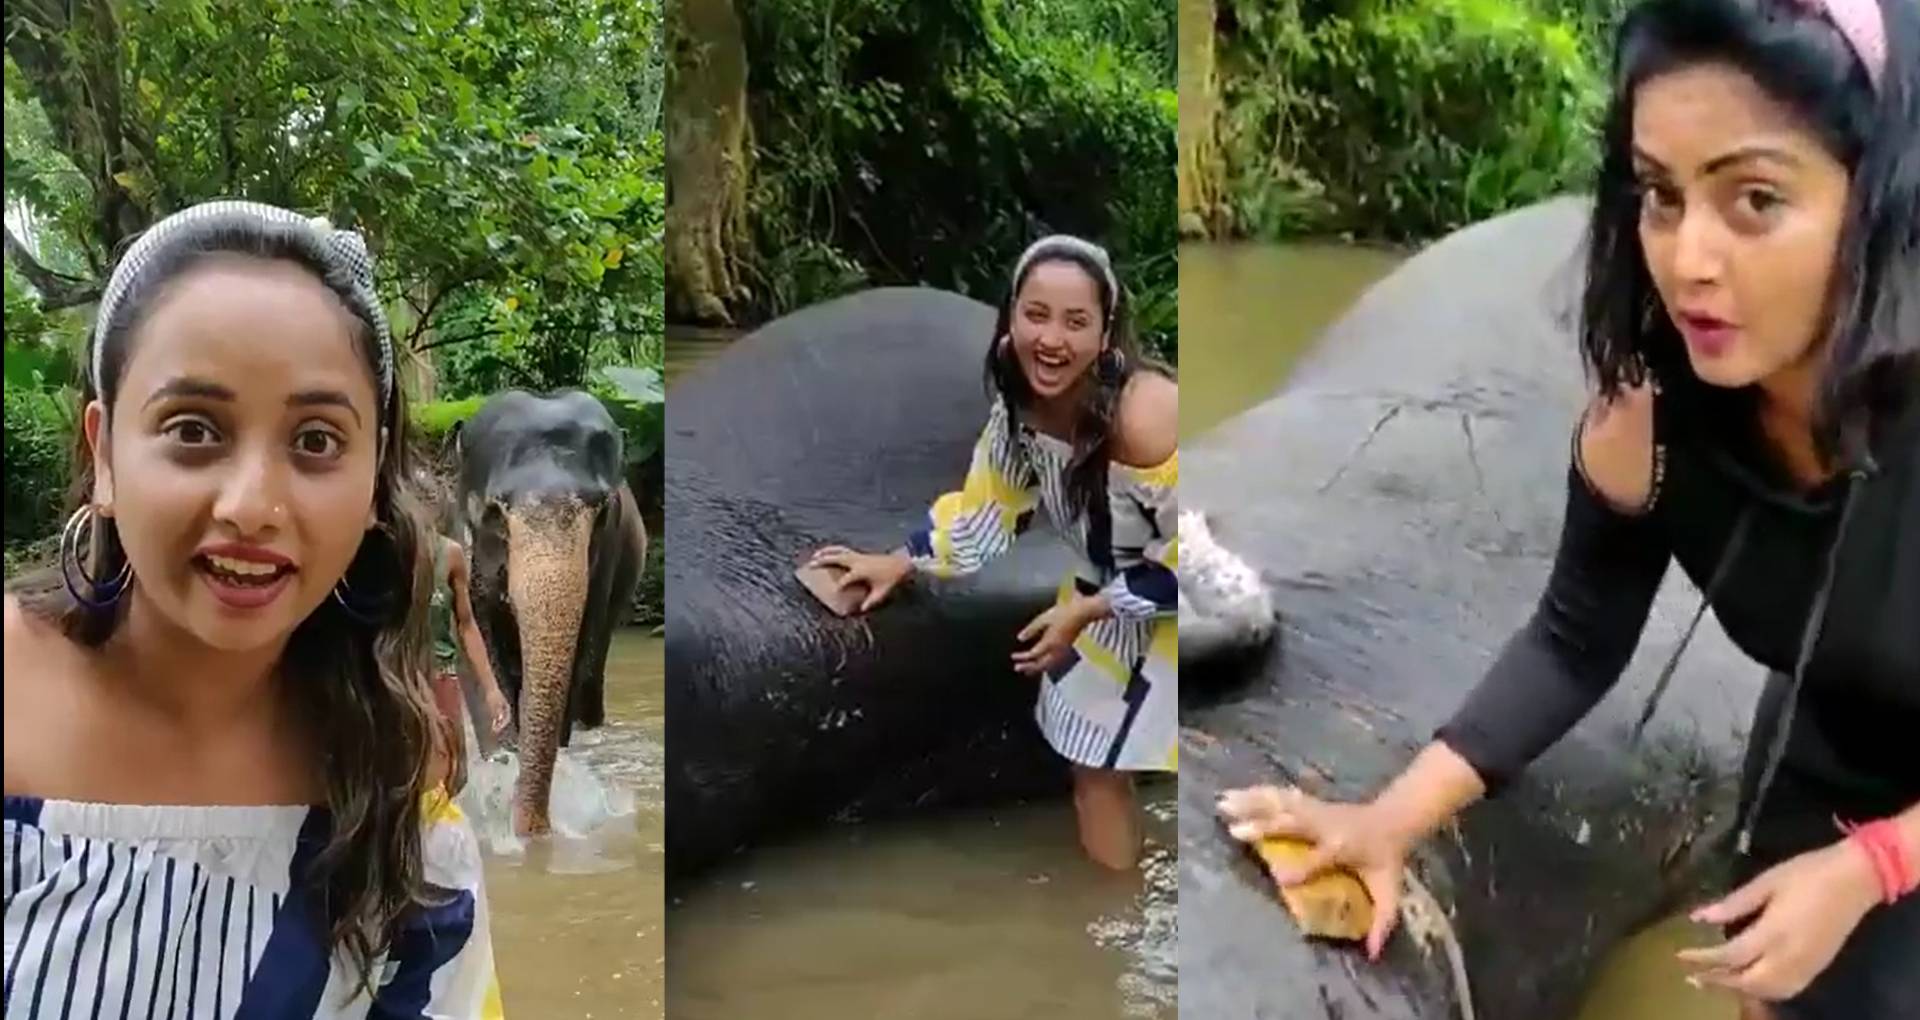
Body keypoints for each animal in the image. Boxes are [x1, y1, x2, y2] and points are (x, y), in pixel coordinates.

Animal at [453, 388, 648, 833]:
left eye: (602, 510)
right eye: (494, 512)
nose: (536, 830)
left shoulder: (606, 557)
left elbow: (581, 643)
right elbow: (478, 642)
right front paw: (502, 764)